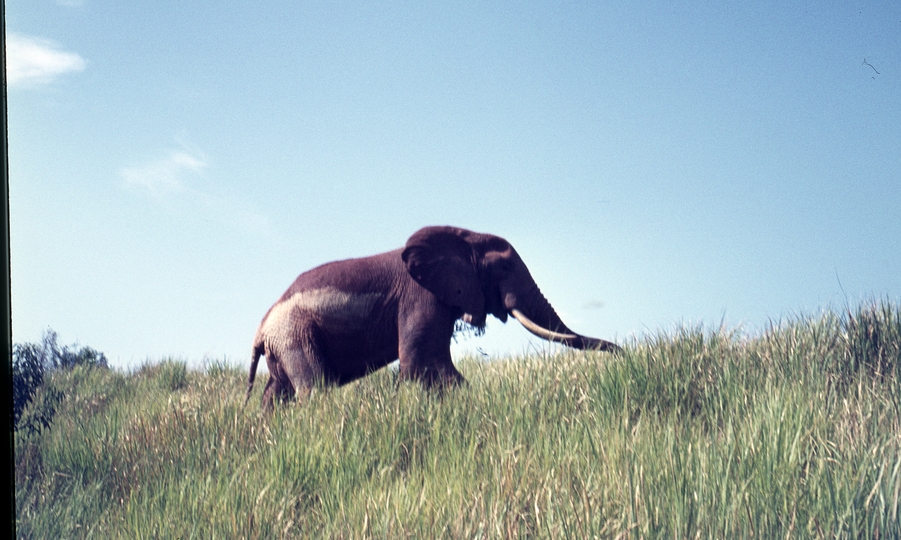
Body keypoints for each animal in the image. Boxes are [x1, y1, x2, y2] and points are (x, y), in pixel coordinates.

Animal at [244, 225, 620, 410]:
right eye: (504, 268)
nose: (621, 352)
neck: (463, 237)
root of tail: (260, 330)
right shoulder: (421, 297)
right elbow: (422, 362)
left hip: (284, 342)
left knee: (275, 394)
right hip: (294, 334)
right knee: (314, 389)